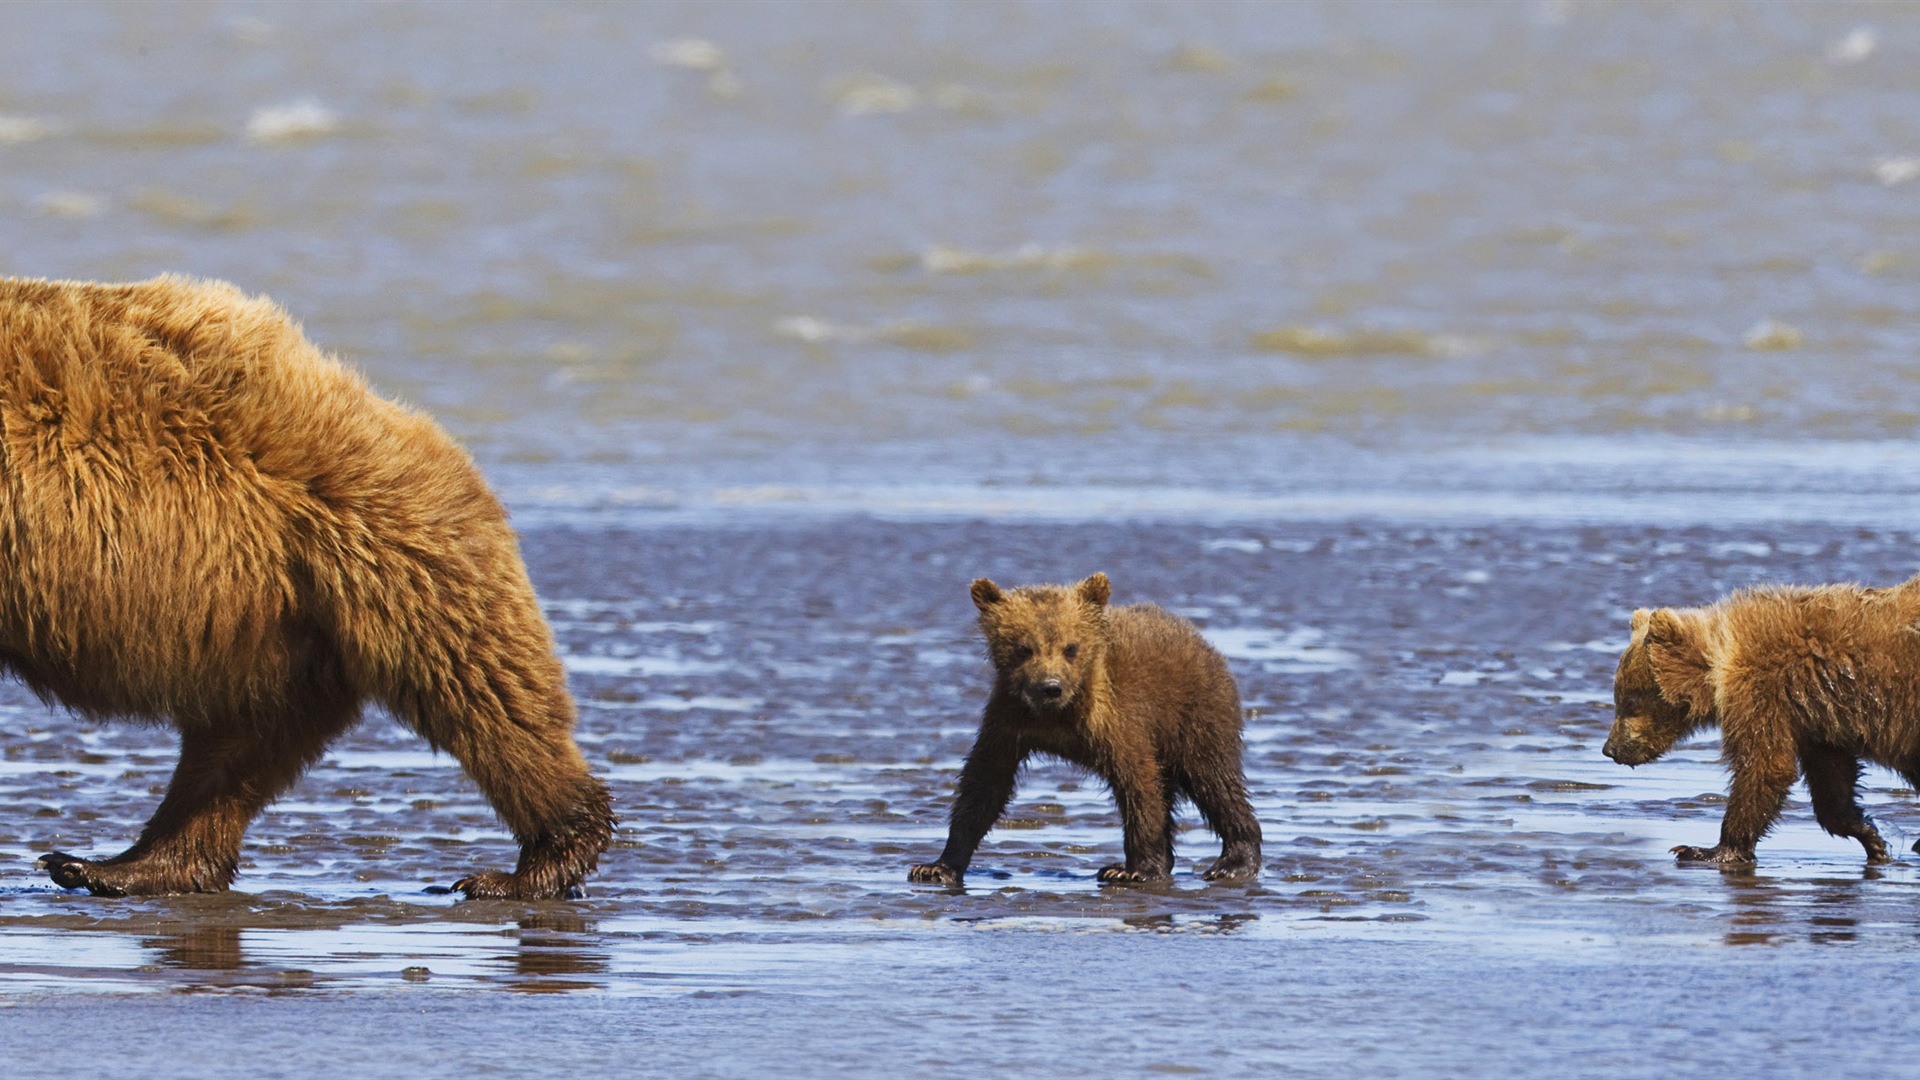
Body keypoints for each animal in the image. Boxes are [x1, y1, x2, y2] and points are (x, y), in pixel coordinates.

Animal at [0, 272, 610, 895]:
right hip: (273, 624)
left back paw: (529, 862)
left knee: (483, 692)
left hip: (378, 551)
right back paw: (124, 863)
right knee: (241, 745)